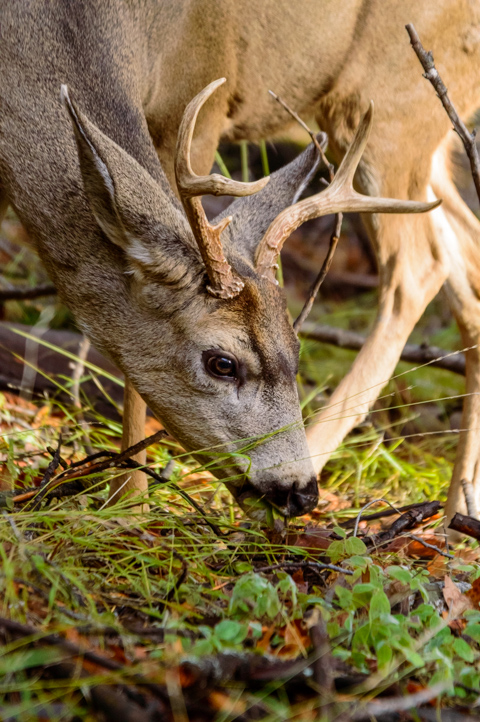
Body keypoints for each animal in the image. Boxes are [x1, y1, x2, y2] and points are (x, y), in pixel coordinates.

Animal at [0, 1, 479, 522]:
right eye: (223, 363)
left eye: (296, 352)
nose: (300, 492)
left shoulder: (204, 92)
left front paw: (129, 506)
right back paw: (456, 512)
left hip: (394, 104)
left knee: (418, 267)